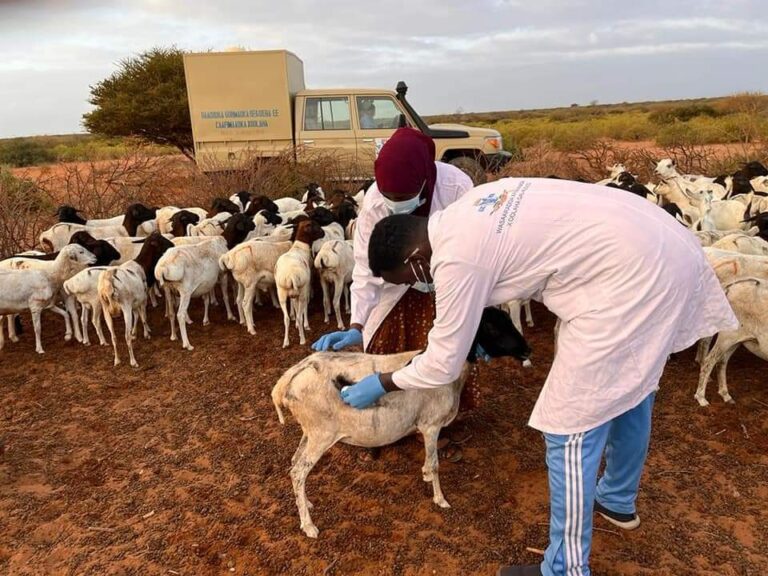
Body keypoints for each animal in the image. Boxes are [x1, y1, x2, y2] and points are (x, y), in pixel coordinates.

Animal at [272, 308, 532, 536]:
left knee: (294, 463)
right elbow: (434, 464)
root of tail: (289, 379)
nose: (527, 350)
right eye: (491, 327)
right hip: (321, 434)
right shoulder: (431, 425)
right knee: (298, 472)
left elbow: (429, 464)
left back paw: (307, 503)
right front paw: (440, 499)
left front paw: (427, 478)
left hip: (309, 431)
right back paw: (308, 526)